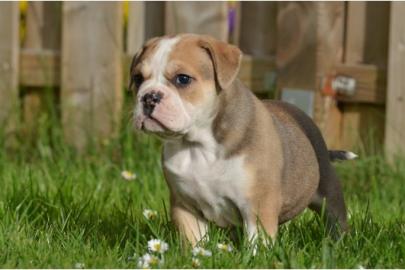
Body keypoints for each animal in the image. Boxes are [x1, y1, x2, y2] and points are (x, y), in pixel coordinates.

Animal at [129, 33, 354, 245]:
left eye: (182, 79)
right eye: (138, 79)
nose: (149, 97)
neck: (198, 144)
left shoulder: (258, 205)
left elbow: (258, 242)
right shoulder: (185, 206)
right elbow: (195, 242)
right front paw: (197, 256)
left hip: (329, 192)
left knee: (335, 220)